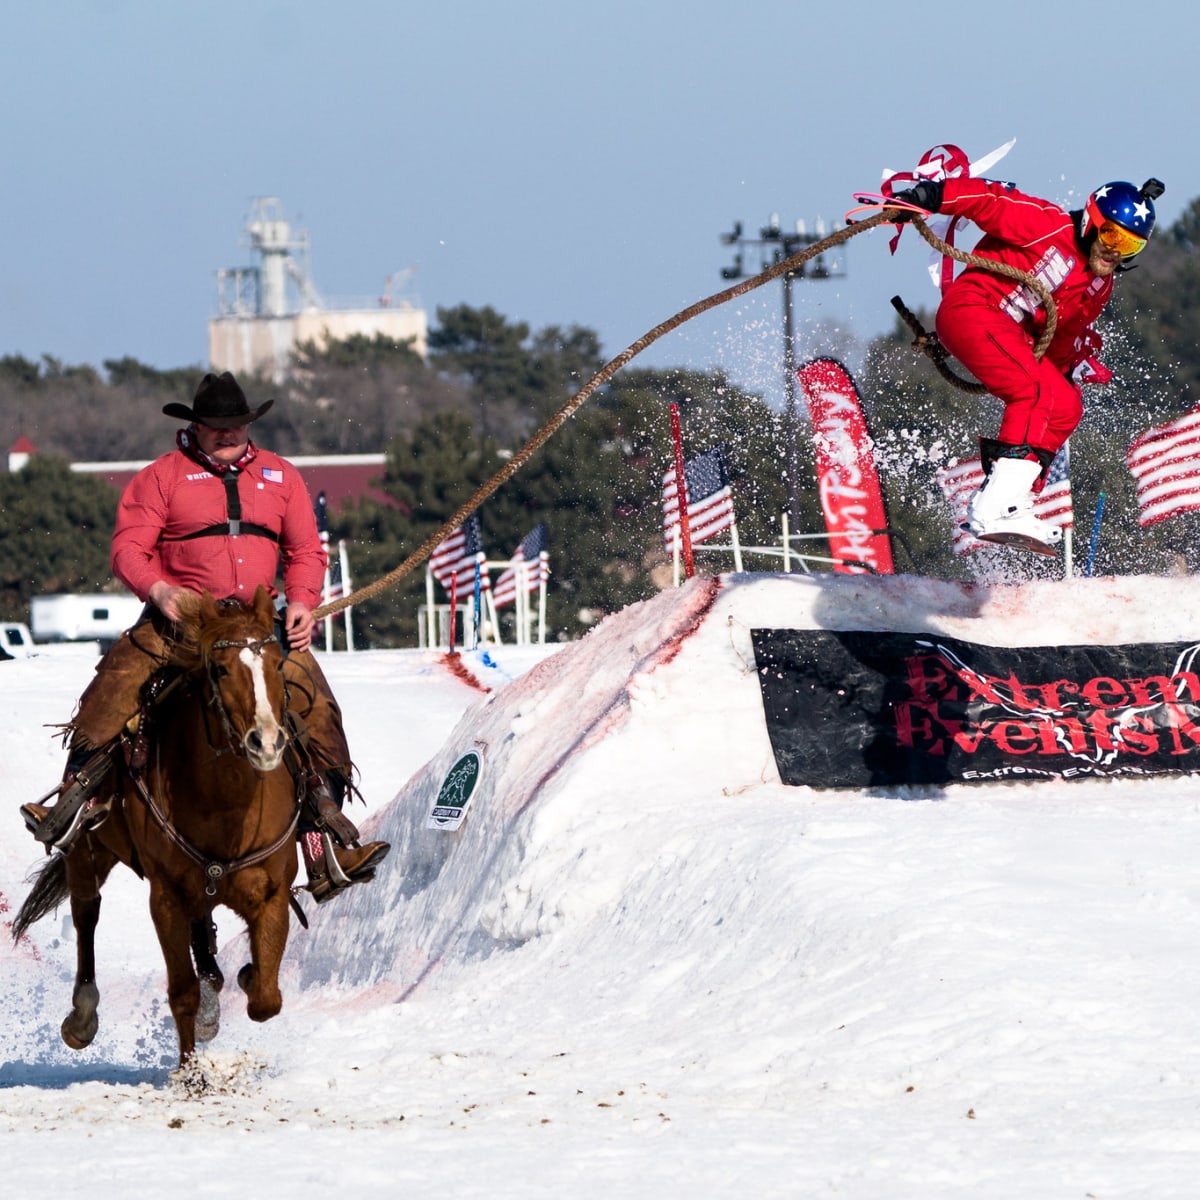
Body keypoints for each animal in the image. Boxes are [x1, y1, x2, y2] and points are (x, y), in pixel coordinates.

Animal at [14, 585, 300, 1065]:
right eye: (220, 668)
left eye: (278, 664)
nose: (266, 742)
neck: (226, 805)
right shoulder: (165, 896)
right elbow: (182, 993)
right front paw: (190, 1073)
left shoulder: (272, 892)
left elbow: (266, 996)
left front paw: (244, 977)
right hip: (88, 850)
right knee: (86, 912)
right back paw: (82, 1017)